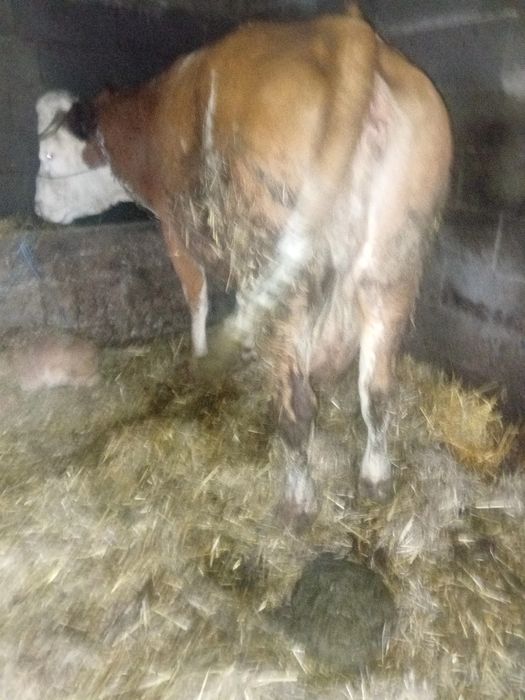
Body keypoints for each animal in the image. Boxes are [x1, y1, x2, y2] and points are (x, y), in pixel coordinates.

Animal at [63, 6, 453, 522]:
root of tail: (345, 31)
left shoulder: (175, 230)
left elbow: (196, 298)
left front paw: (200, 354)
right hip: (393, 262)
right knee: (377, 390)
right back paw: (374, 478)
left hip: (278, 250)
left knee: (297, 405)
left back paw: (297, 504)